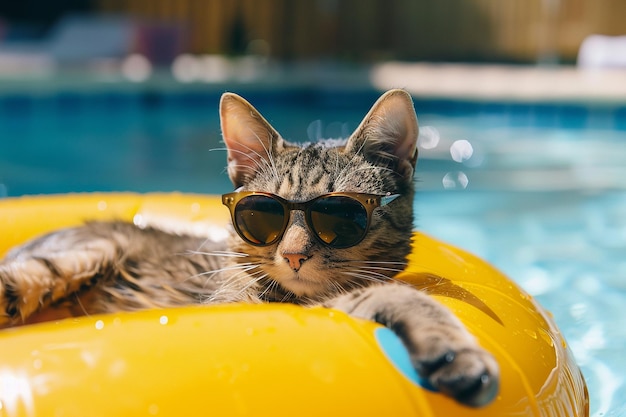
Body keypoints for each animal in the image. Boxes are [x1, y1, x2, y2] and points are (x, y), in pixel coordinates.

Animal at [0, 88, 498, 406]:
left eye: (340, 216)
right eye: (262, 213)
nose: (294, 254)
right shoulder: (237, 307)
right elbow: (391, 294)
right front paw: (454, 349)